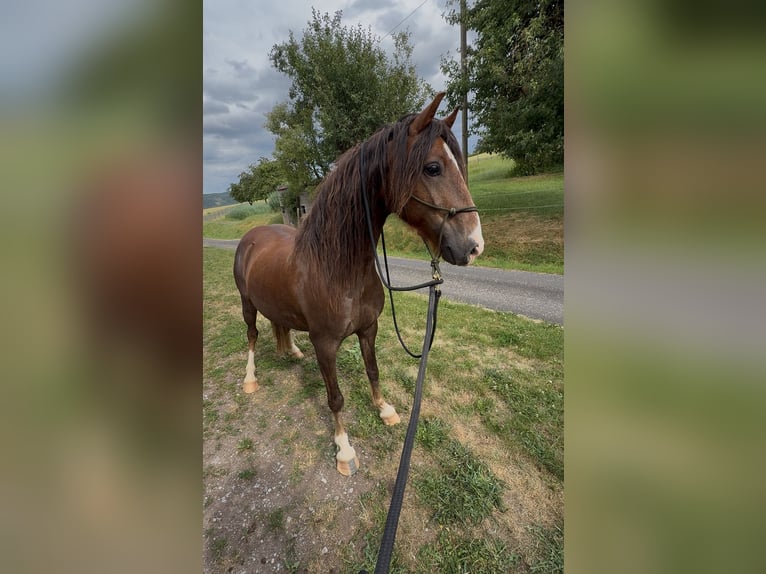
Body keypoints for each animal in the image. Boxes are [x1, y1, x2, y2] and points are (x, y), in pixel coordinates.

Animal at [233, 92, 484, 475]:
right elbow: (335, 397)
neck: (339, 269)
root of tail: (252, 235)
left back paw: (291, 350)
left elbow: (373, 370)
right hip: (247, 304)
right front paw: (344, 448)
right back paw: (250, 379)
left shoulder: (369, 328)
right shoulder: (325, 344)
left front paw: (385, 409)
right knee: (251, 335)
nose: (474, 245)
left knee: (280, 324)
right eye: (433, 168)